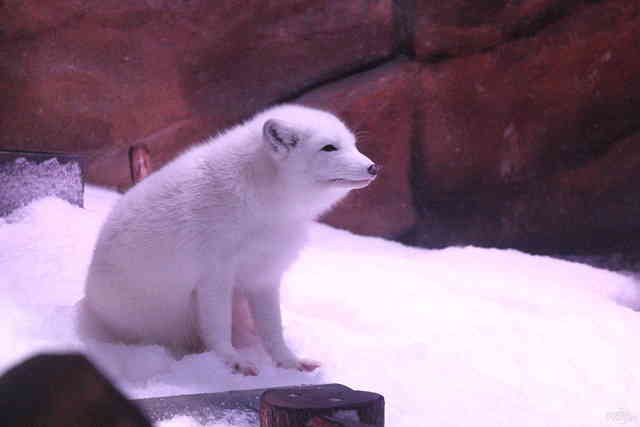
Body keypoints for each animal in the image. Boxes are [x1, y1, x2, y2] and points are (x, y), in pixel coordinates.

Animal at [82, 105, 378, 376]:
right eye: (329, 148)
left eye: (353, 144)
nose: (373, 167)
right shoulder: (214, 276)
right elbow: (218, 327)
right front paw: (231, 361)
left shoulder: (264, 277)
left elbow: (273, 329)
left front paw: (288, 362)